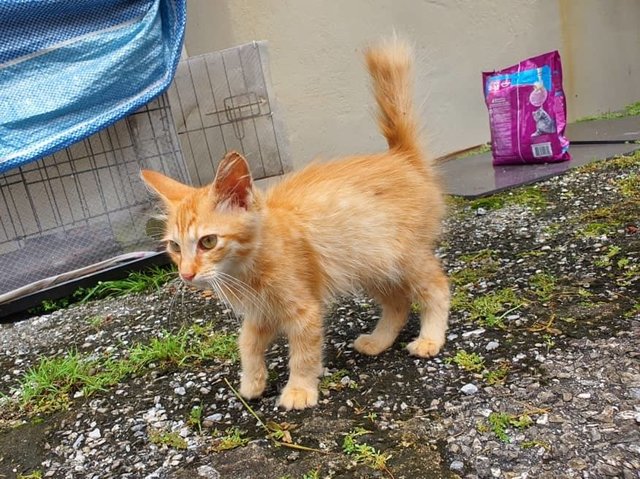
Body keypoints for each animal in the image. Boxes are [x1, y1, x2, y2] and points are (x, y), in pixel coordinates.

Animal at [140, 38, 450, 412]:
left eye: (208, 242)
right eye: (174, 247)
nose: (186, 275)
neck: (248, 267)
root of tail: (401, 156)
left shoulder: (303, 309)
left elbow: (303, 353)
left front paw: (299, 389)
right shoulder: (260, 313)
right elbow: (246, 343)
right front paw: (252, 381)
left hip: (403, 258)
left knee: (436, 287)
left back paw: (430, 338)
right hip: (370, 266)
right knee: (398, 302)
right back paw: (378, 341)